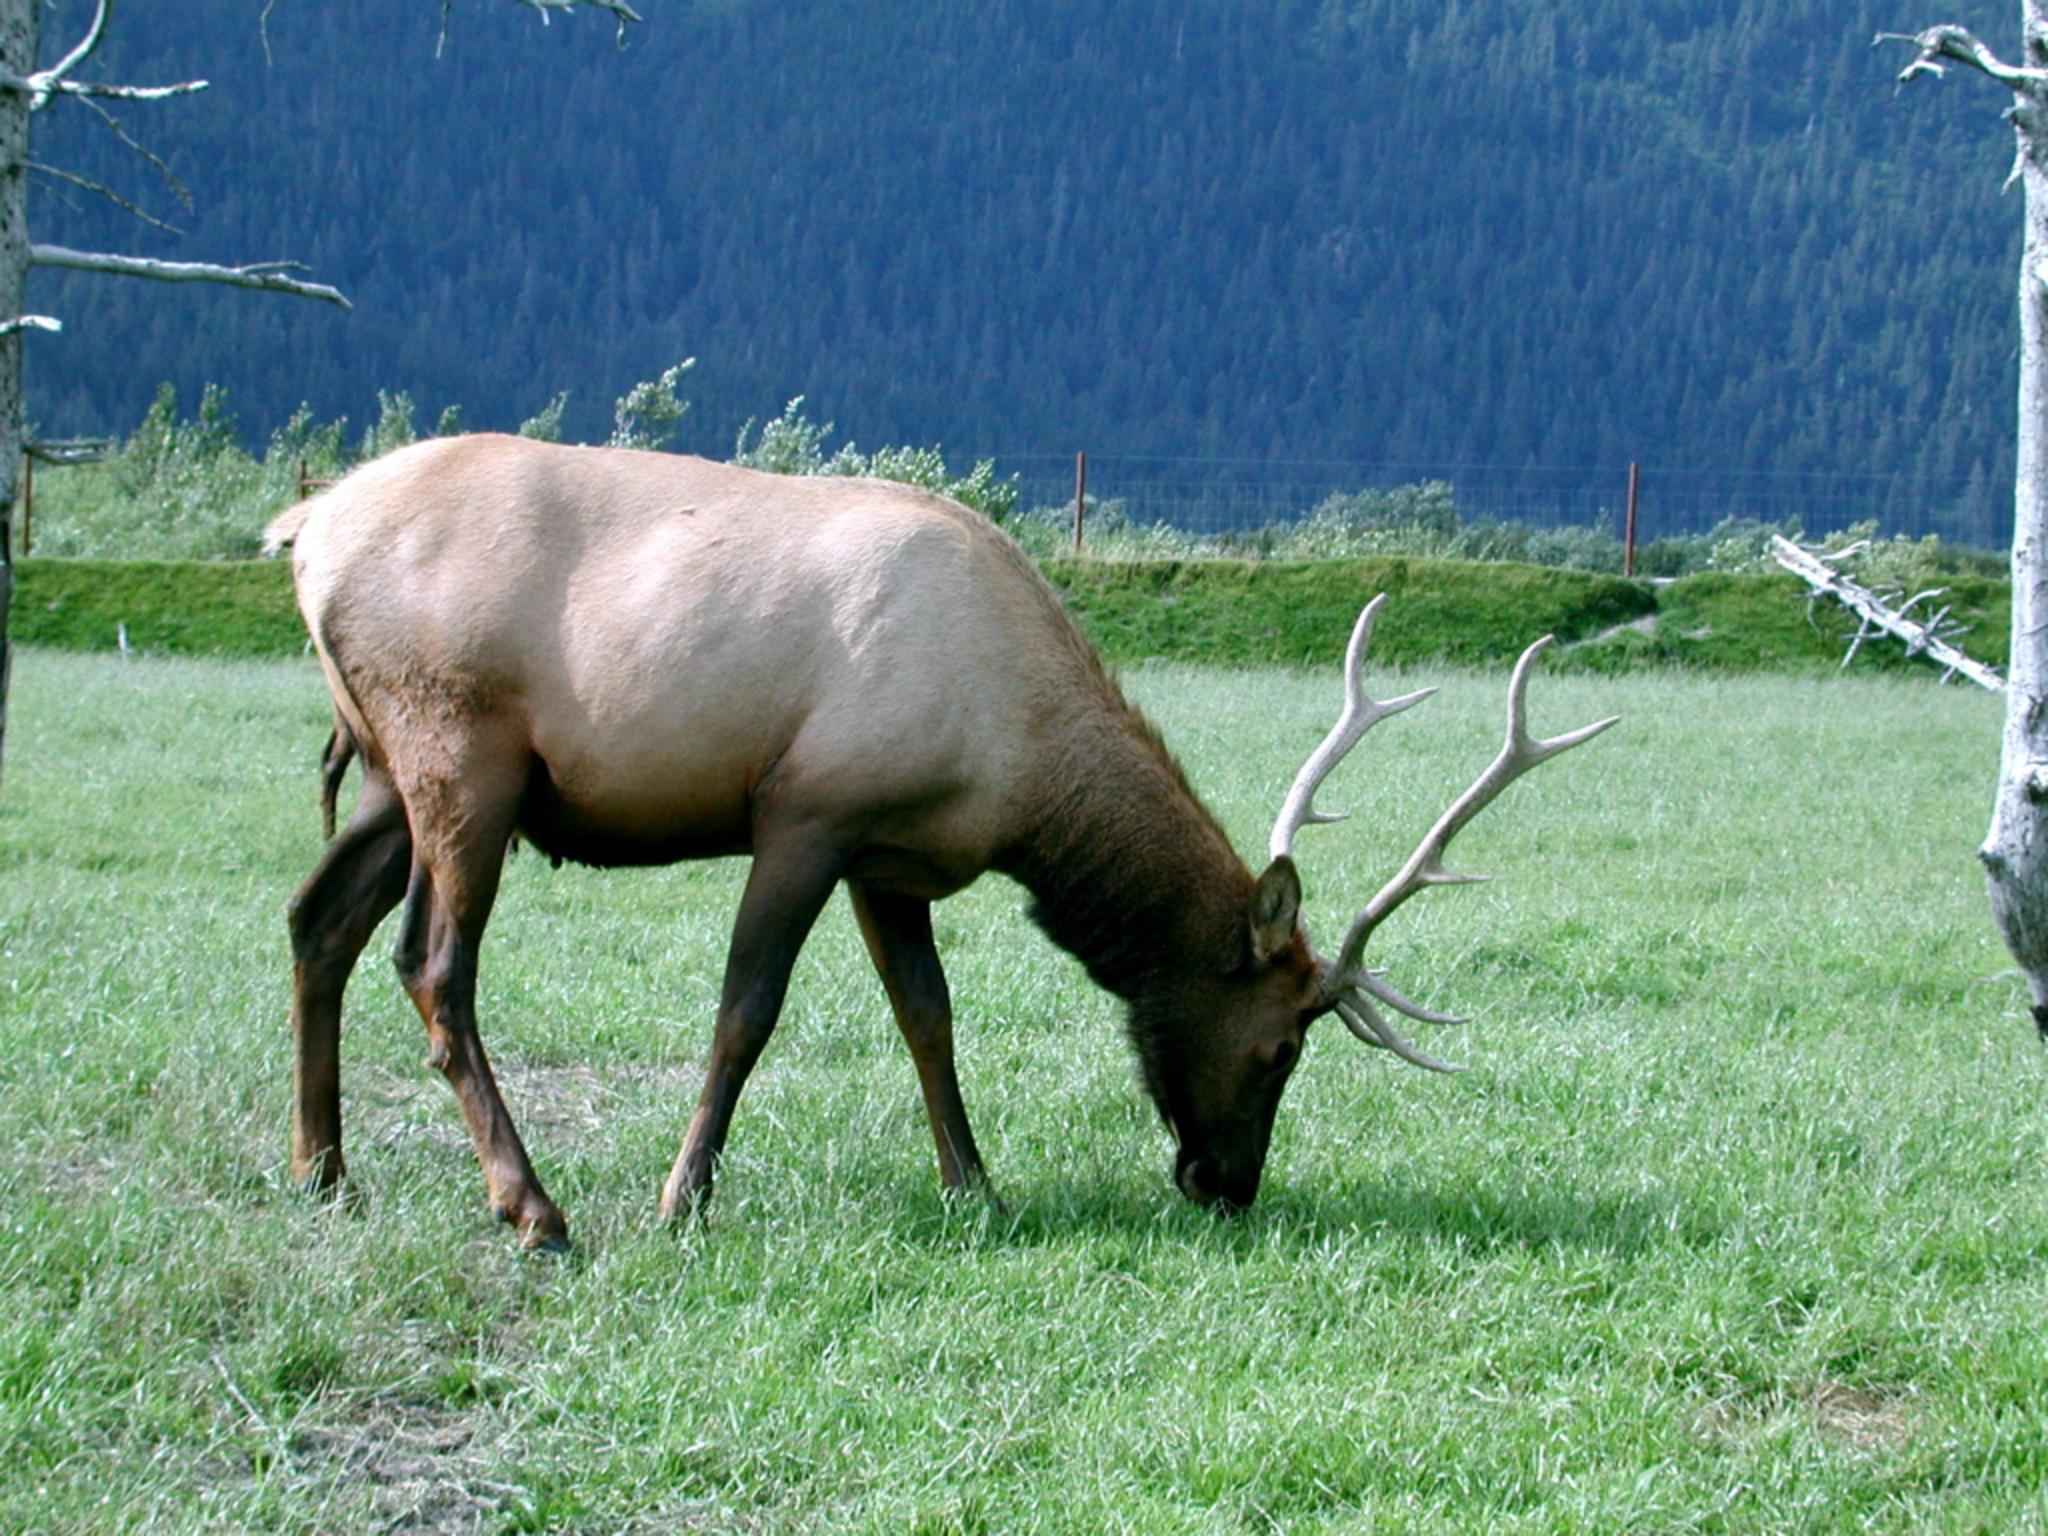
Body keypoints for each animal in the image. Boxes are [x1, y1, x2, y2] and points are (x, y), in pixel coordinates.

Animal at [264, 434, 1613, 1253]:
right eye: (1280, 1044)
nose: (1226, 1186)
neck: (1015, 771)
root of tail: (304, 526)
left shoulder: (888, 855)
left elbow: (927, 1013)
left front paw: (976, 1184)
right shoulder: (808, 810)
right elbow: (746, 1011)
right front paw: (682, 1195)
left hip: (381, 764)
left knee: (316, 919)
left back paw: (322, 1169)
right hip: (462, 748)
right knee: (434, 965)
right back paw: (532, 1208)